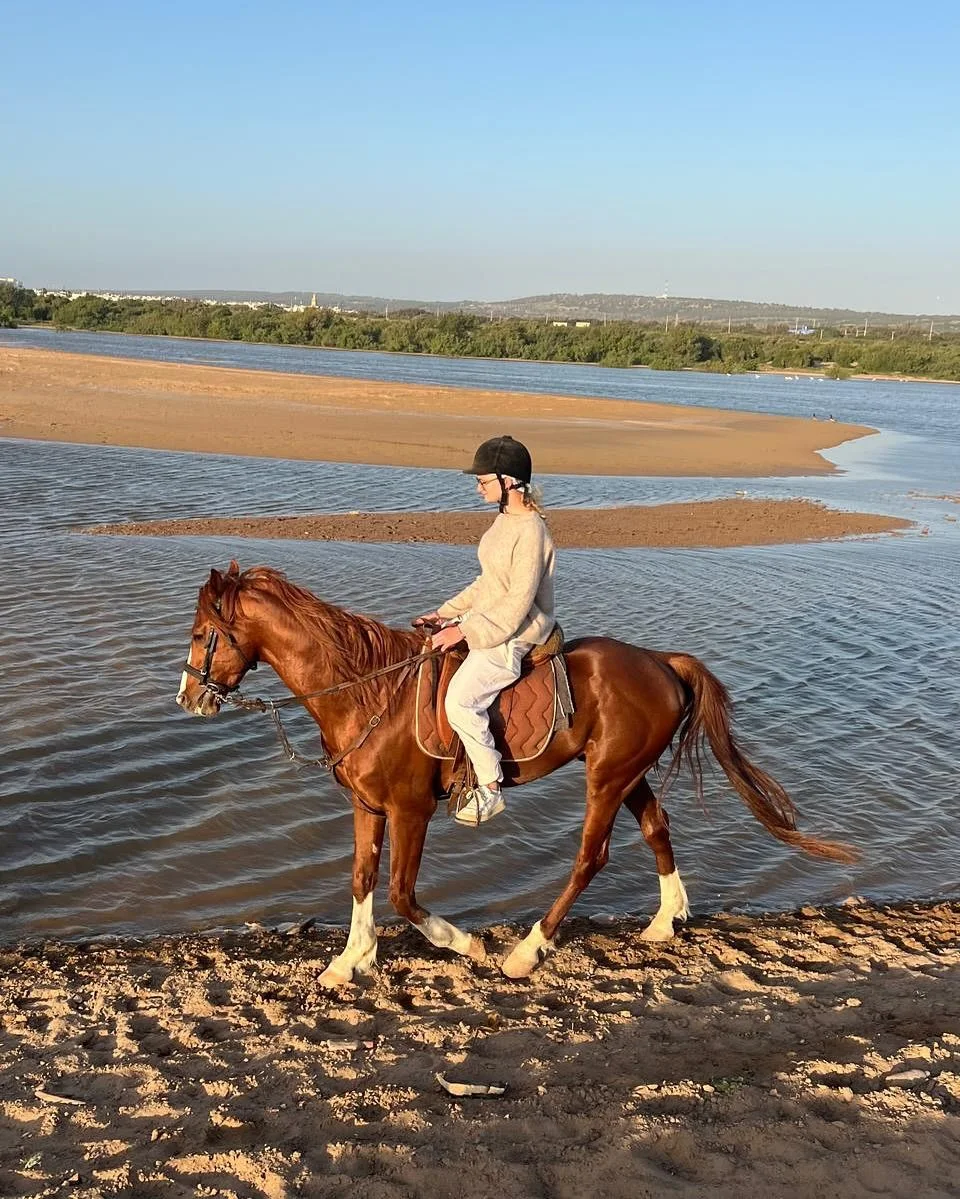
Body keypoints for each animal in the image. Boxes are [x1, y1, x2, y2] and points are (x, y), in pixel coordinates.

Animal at [176, 561, 857, 985]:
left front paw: (465, 943)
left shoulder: (410, 811)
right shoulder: (367, 807)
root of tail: (662, 662)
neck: (368, 692)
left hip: (606, 779)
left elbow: (400, 892)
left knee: (591, 856)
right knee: (657, 828)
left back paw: (528, 952)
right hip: (626, 773)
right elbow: (362, 881)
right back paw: (665, 922)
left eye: (204, 634)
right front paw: (350, 961)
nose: (188, 698)